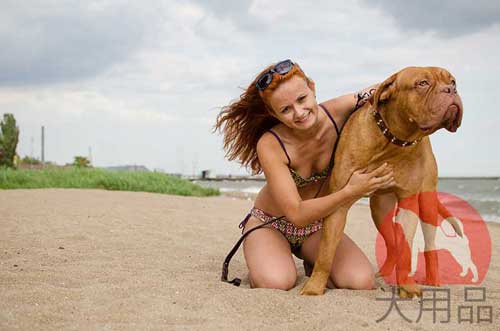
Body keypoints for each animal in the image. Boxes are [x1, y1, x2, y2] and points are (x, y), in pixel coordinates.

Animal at [298, 67, 462, 298]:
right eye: (422, 83)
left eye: (453, 81)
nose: (451, 90)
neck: (392, 141)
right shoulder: (339, 203)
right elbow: (326, 251)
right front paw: (314, 287)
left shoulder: (408, 203)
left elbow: (405, 248)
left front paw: (408, 287)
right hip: (379, 209)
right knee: (391, 243)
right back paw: (384, 274)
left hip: (427, 202)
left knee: (429, 245)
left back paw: (432, 279)